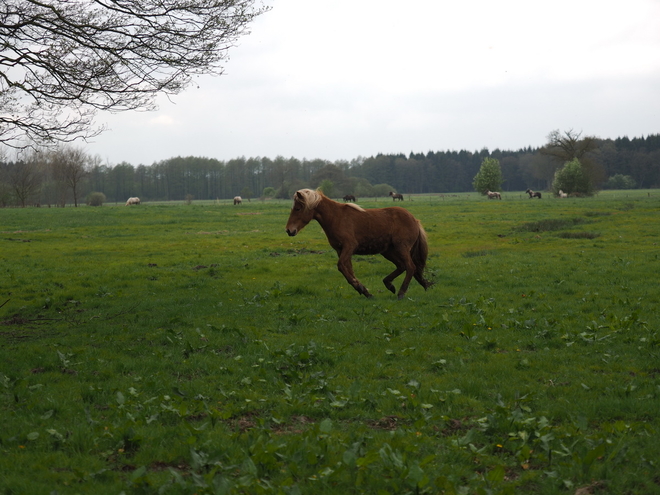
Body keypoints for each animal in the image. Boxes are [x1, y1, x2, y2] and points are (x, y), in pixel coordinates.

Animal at [284, 189, 434, 298]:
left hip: (401, 248)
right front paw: (364, 291)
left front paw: (362, 289)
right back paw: (390, 285)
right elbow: (348, 270)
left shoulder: (349, 247)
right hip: (388, 251)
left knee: (410, 267)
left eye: (298, 208)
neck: (336, 218)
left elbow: (341, 266)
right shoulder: (341, 250)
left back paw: (401, 293)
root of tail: (415, 220)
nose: (289, 230)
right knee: (402, 266)